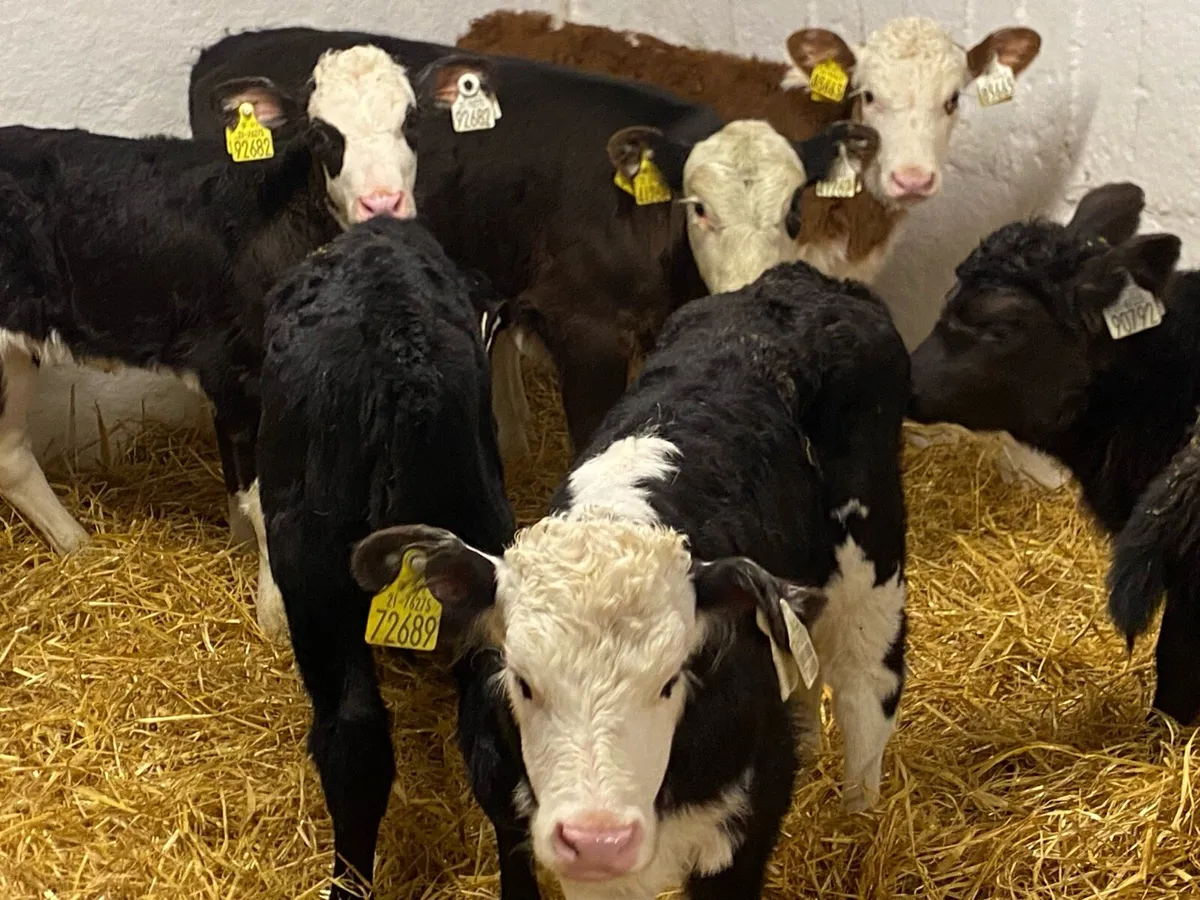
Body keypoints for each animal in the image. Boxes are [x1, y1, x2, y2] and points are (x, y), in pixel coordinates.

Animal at [0, 43, 487, 643]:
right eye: (321, 133)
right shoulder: (243, 375)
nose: (383, 203)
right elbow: (263, 501)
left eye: (411, 121)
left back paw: (80, 548)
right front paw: (275, 616)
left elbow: (238, 483)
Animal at [352, 258, 911, 899]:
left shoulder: (749, 818)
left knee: (867, 684)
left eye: (669, 681)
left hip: (872, 562)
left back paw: (859, 814)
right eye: (522, 681)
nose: (599, 838)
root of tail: (797, 280)